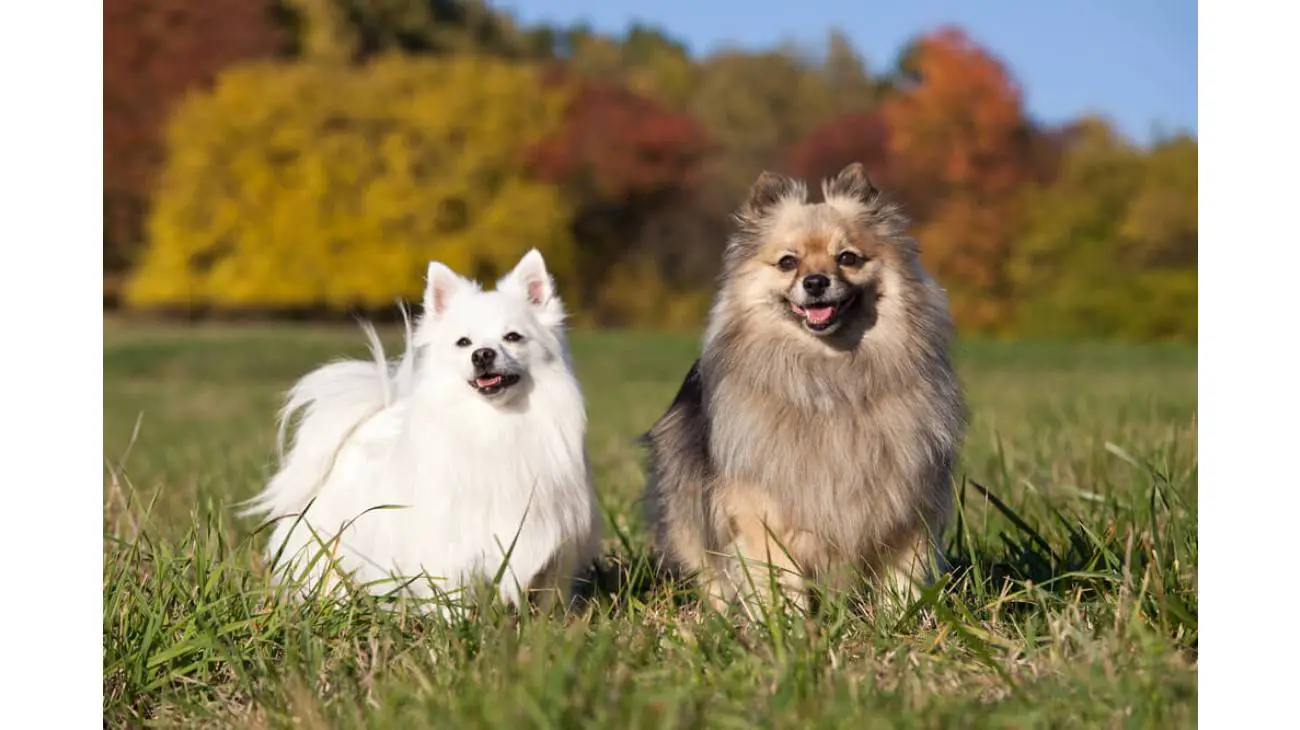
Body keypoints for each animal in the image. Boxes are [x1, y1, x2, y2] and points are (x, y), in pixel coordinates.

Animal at [241, 246, 600, 610]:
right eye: (463, 342)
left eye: (513, 337)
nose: (482, 354)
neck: (496, 422)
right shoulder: (453, 549)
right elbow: (452, 599)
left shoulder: (554, 552)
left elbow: (549, 601)